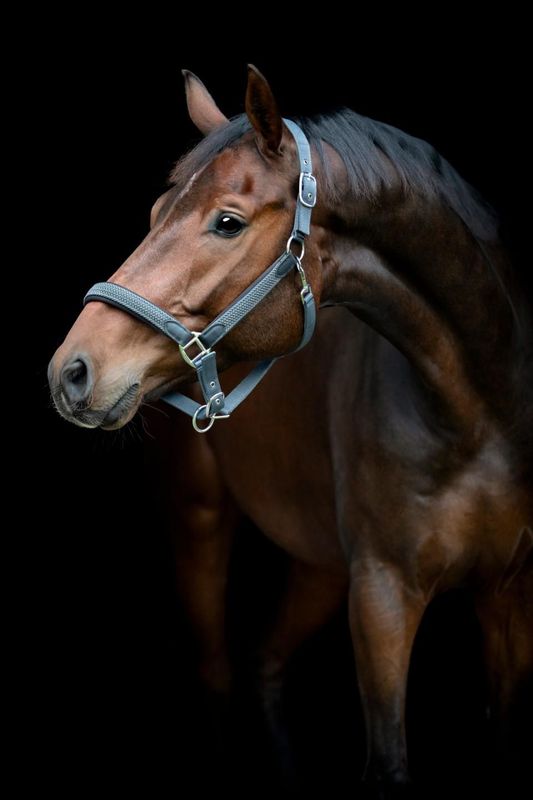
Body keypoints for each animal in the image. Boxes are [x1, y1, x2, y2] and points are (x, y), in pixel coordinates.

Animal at [48, 65, 533, 796]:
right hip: (199, 524)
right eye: (154, 215)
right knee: (219, 672)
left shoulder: (508, 596)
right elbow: (387, 759)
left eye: (227, 222)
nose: (72, 371)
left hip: (318, 565)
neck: (475, 410)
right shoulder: (383, 596)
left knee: (266, 661)